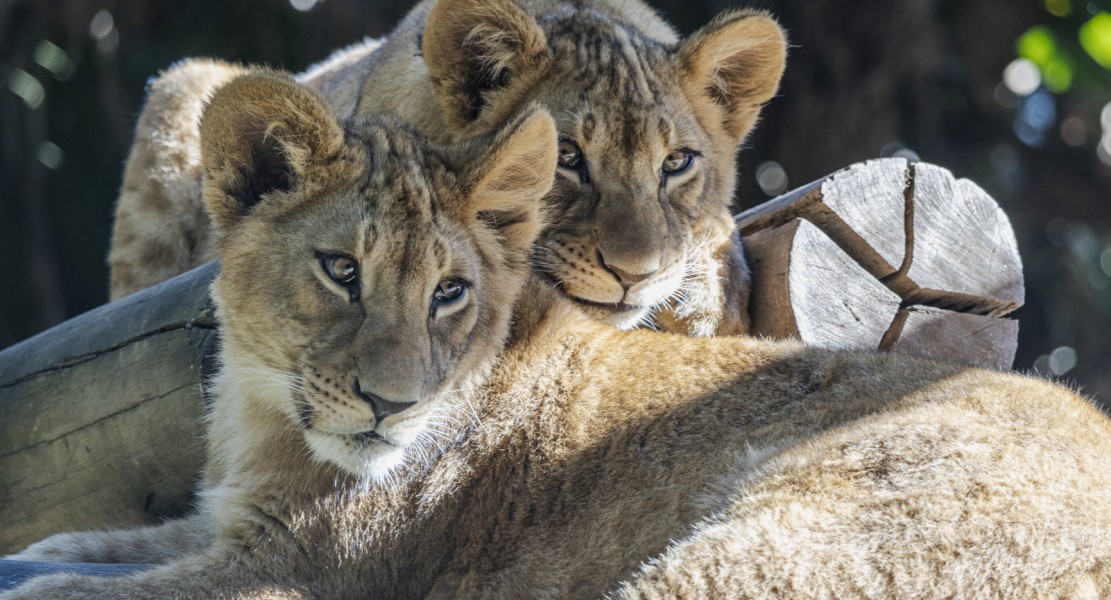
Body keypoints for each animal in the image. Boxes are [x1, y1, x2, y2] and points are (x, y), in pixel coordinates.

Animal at [10, 72, 1111, 595]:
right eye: (341, 270)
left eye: (450, 292)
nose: (390, 408)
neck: (264, 413)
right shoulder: (227, 523)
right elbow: (82, 544)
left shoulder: (300, 572)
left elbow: (78, 591)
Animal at [108, 0, 791, 335]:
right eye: (568, 157)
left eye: (676, 162)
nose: (633, 274)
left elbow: (716, 230)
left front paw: (707, 299)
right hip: (184, 87)